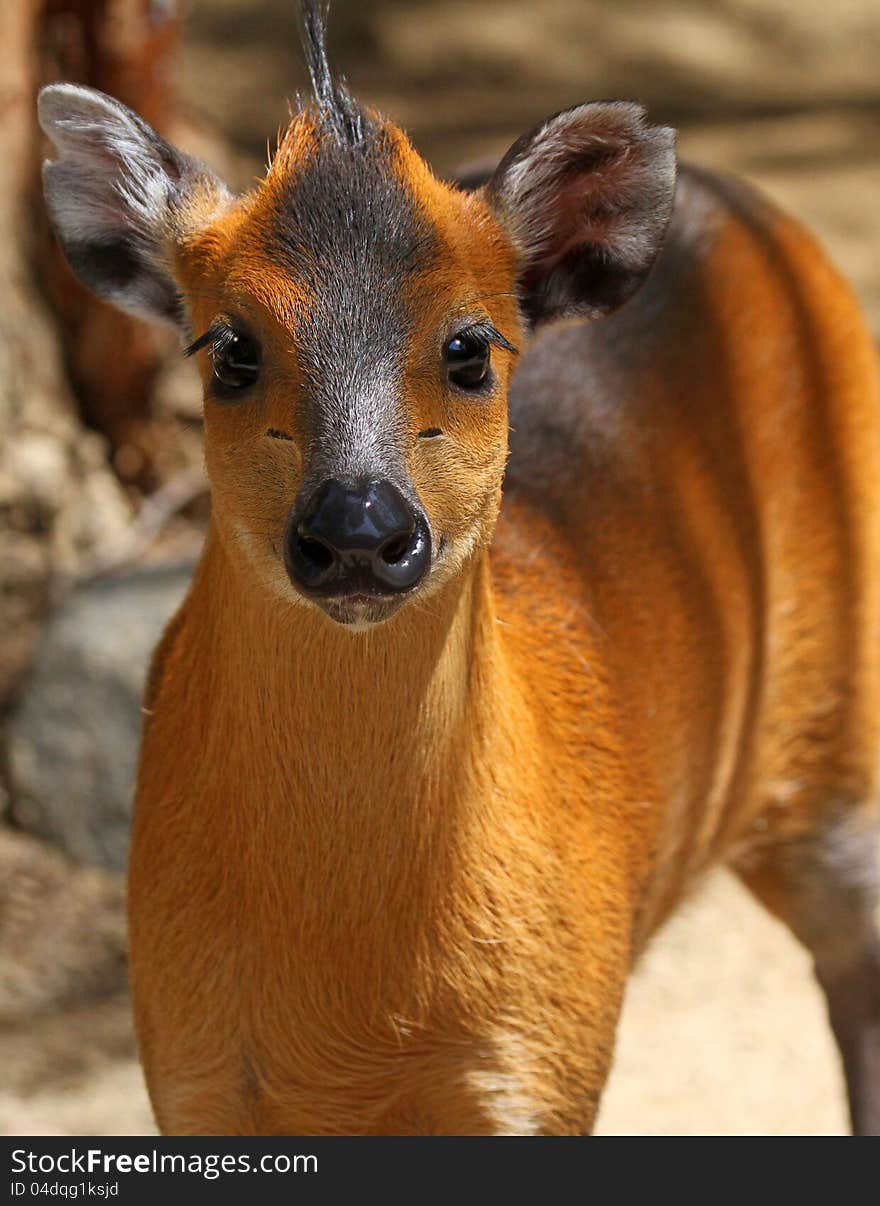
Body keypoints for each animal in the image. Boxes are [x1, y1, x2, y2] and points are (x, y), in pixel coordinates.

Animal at [37, 0, 877, 1133]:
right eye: (231, 349)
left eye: (470, 349)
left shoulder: (542, 1062)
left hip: (841, 735)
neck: (354, 1025)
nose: (357, 528)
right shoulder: (183, 1061)